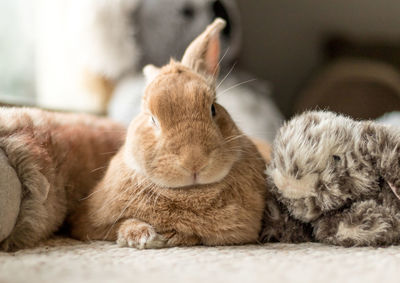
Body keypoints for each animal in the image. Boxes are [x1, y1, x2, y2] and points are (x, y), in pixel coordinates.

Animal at [70, 18, 268, 250]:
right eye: (152, 119)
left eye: (213, 108)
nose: (194, 161)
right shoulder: (88, 223)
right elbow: (121, 223)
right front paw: (143, 237)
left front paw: (170, 237)